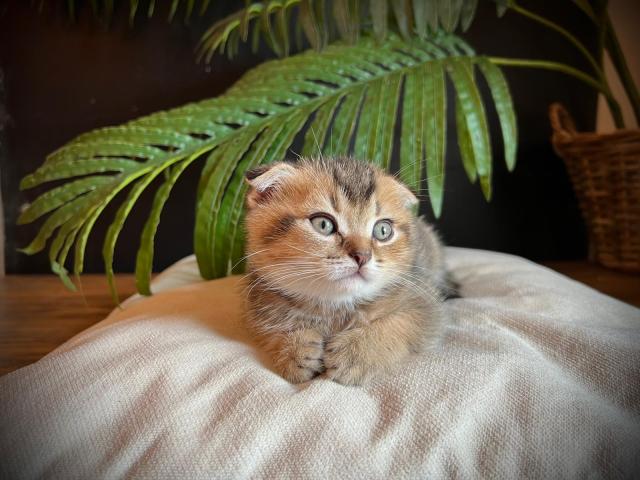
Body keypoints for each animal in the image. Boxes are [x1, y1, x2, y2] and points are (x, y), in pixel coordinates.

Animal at [244, 158, 450, 386]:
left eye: (383, 230)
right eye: (323, 224)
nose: (362, 256)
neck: (334, 306)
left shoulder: (425, 302)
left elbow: (402, 323)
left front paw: (356, 353)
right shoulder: (260, 303)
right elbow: (269, 329)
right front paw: (293, 349)